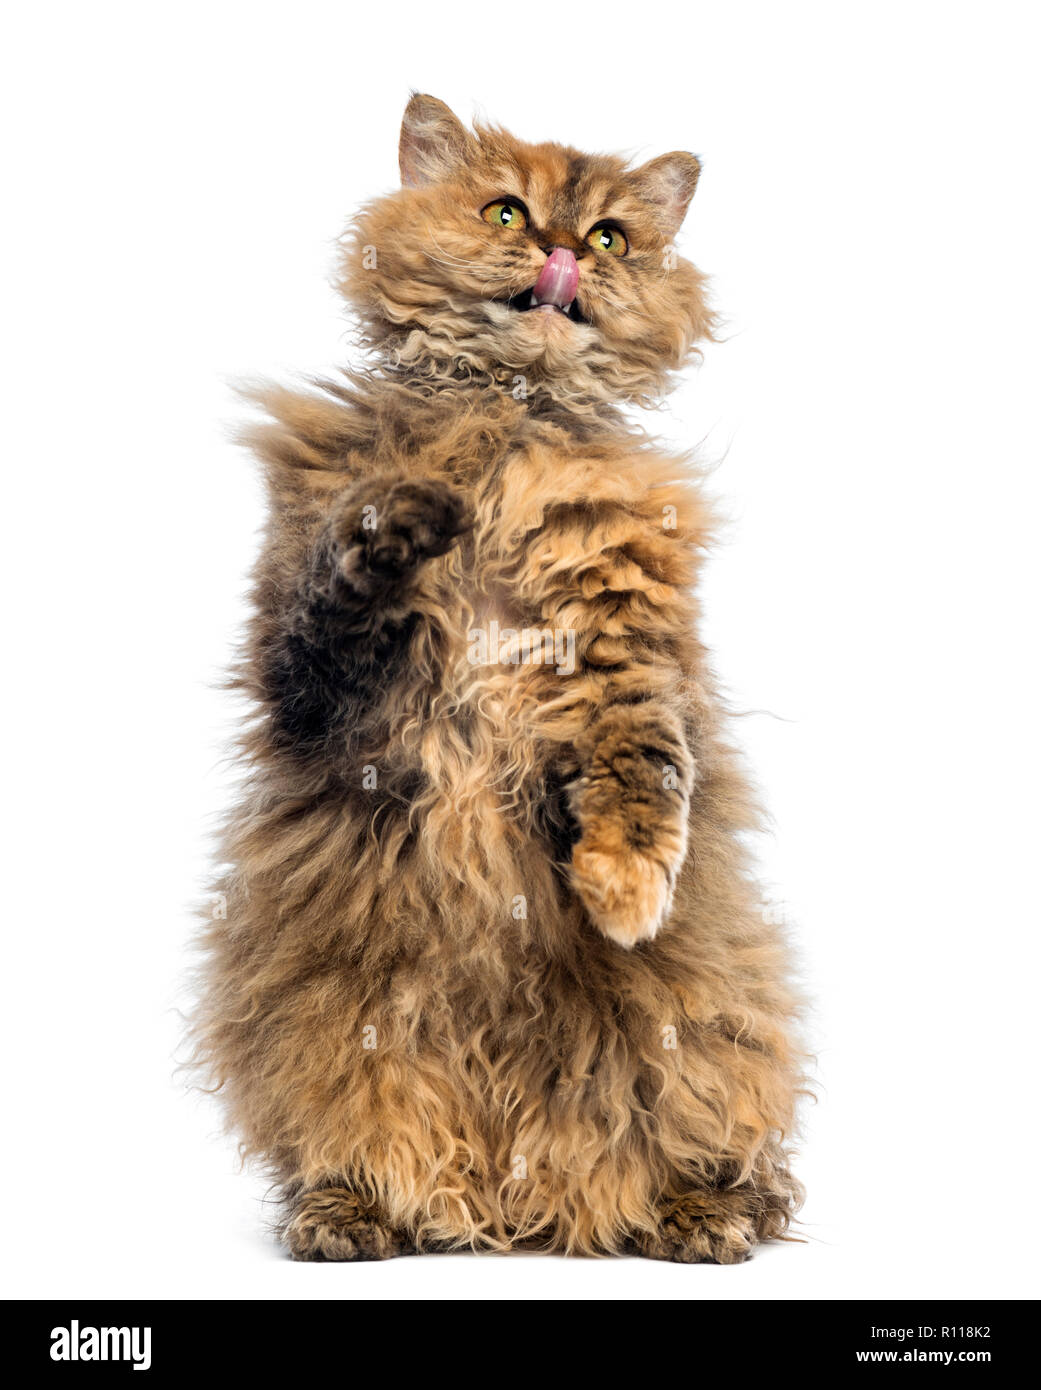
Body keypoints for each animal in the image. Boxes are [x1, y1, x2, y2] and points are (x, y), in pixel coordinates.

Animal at [193, 92, 806, 1267]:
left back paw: (698, 1217)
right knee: (351, 1154)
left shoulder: (623, 648)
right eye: (506, 211)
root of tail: (514, 1212)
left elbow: (642, 773)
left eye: (610, 236)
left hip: (720, 1039)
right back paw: (348, 1219)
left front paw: (622, 898)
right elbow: (344, 579)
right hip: (324, 1045)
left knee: (734, 1159)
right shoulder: (310, 673)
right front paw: (404, 520)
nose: (562, 248)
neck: (510, 421)